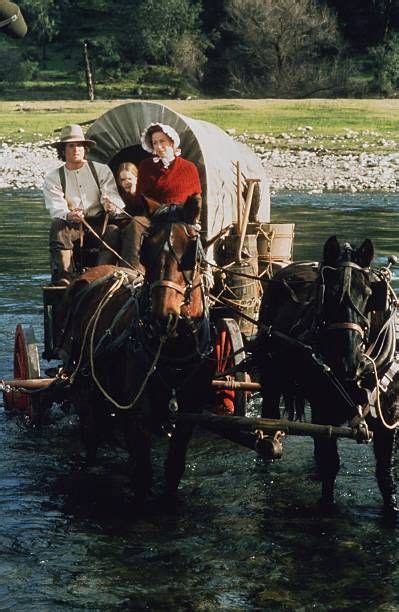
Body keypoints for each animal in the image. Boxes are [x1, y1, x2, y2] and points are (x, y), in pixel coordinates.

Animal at [57, 198, 216, 500]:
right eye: (147, 248)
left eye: (190, 250)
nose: (162, 315)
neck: (171, 351)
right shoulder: (137, 416)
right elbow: (143, 474)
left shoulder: (188, 415)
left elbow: (173, 468)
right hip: (84, 389)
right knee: (91, 436)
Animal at [256, 235, 399, 516]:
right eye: (330, 295)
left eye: (369, 294)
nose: (347, 362)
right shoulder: (323, 410)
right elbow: (330, 464)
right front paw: (326, 506)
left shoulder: (387, 417)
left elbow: (384, 474)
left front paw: (392, 508)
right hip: (271, 380)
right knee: (269, 424)